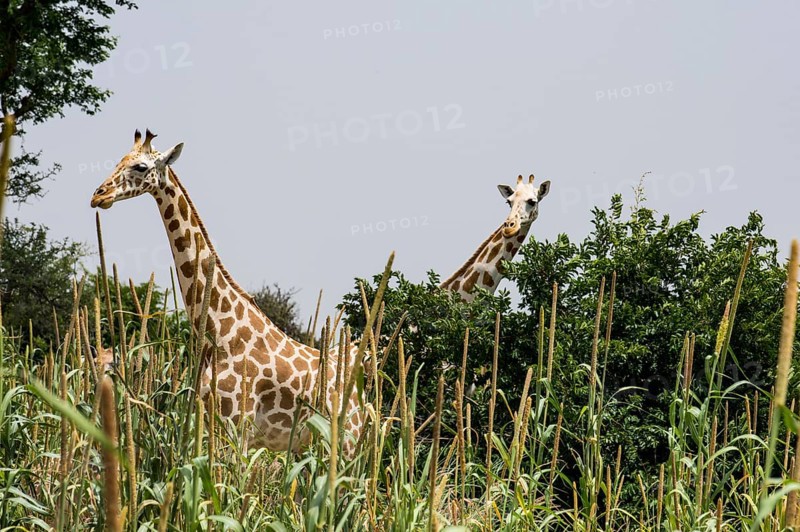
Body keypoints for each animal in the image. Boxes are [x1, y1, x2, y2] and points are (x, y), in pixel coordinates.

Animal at [90, 130, 363, 455]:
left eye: (140, 166)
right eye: (119, 160)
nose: (98, 195)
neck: (218, 333)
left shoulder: (239, 427)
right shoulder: (211, 422)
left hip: (347, 441)